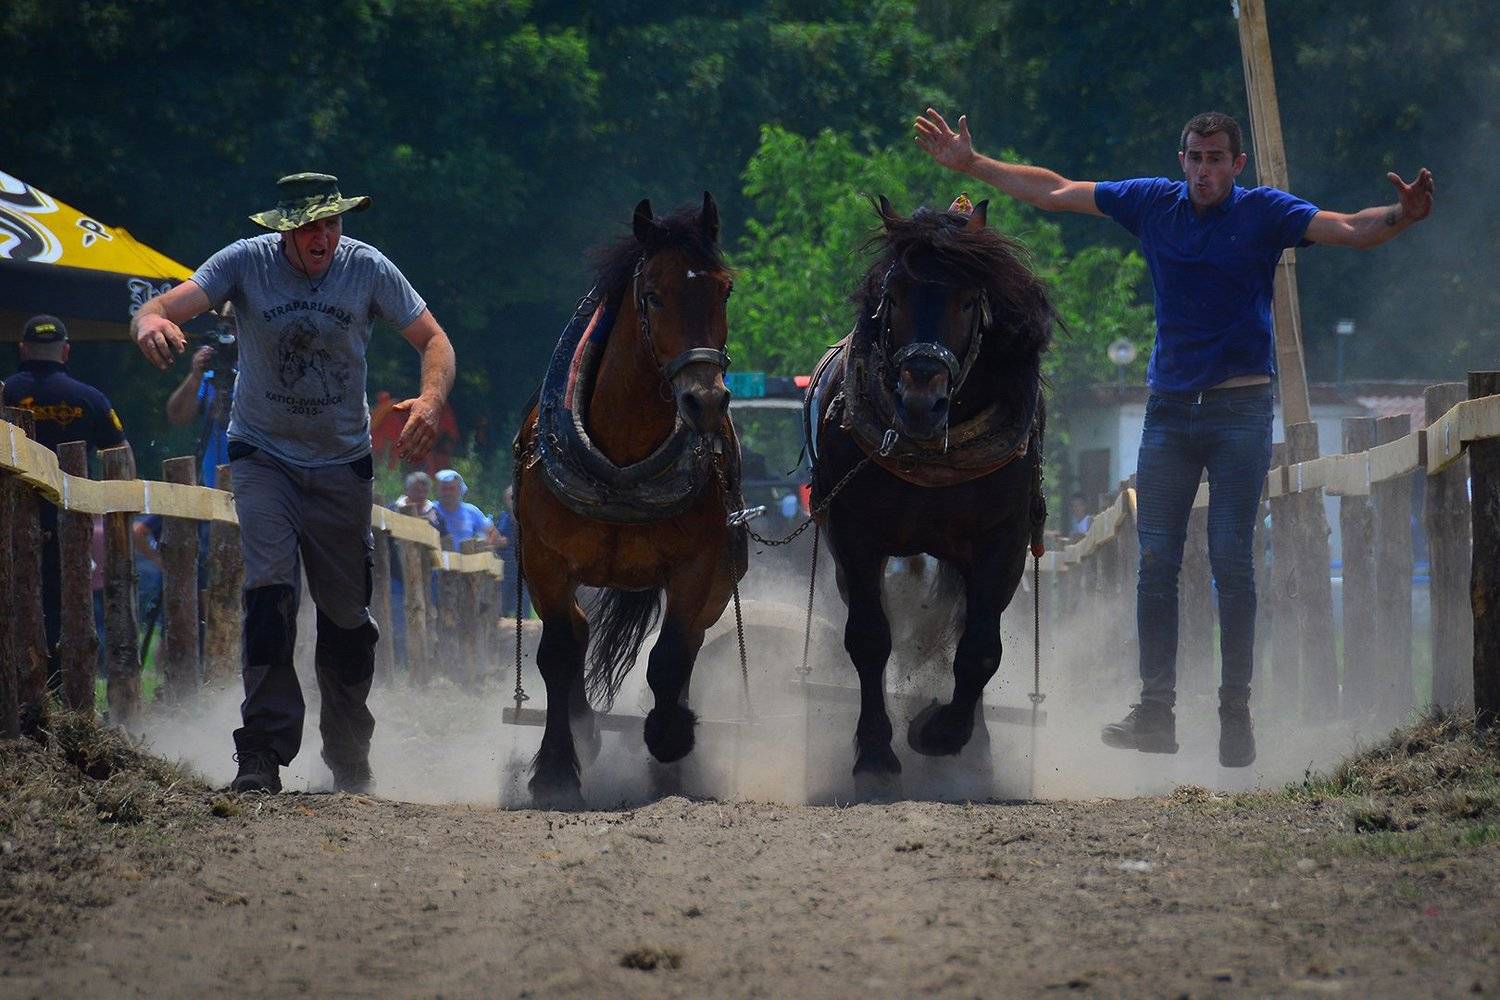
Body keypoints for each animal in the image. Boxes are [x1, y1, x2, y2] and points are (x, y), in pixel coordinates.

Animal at [513, 193, 745, 808]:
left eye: (723, 290)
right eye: (655, 295)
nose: (705, 401)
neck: (620, 471)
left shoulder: (697, 565)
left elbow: (670, 658)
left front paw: (669, 738)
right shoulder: (543, 559)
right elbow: (557, 654)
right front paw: (556, 769)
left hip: (720, 582)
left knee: (688, 647)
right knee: (574, 631)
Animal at [804, 195, 1052, 798]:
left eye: (967, 299)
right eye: (894, 295)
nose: (921, 401)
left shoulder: (1002, 544)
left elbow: (980, 649)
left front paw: (941, 735)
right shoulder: (856, 538)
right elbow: (869, 639)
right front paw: (875, 755)